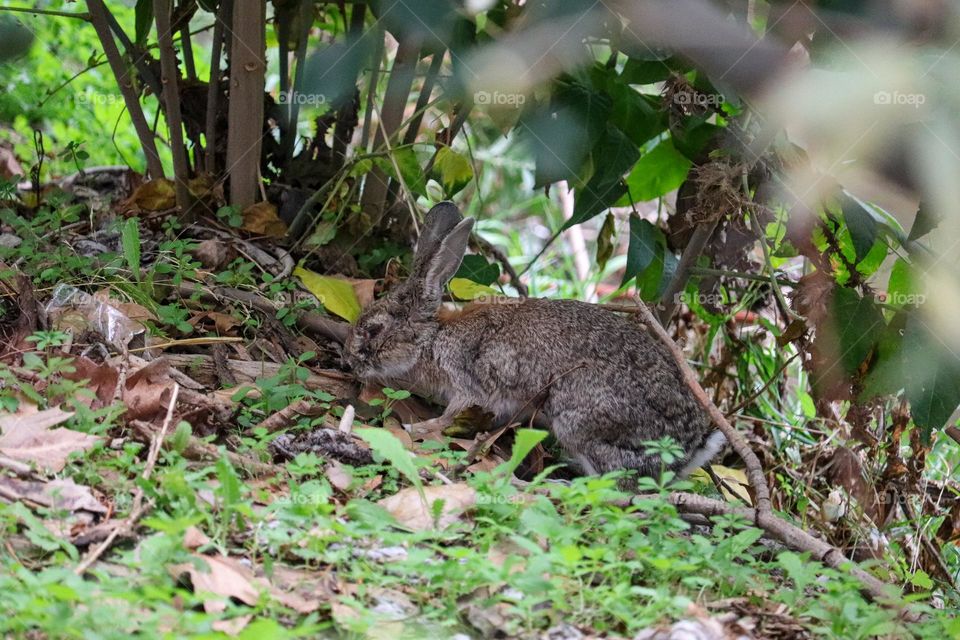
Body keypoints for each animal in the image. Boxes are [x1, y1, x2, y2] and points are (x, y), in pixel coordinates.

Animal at [344, 202, 725, 480]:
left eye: (374, 329)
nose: (349, 361)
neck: (433, 338)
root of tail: (689, 450)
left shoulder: (465, 383)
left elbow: (448, 417)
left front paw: (416, 425)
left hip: (579, 419)